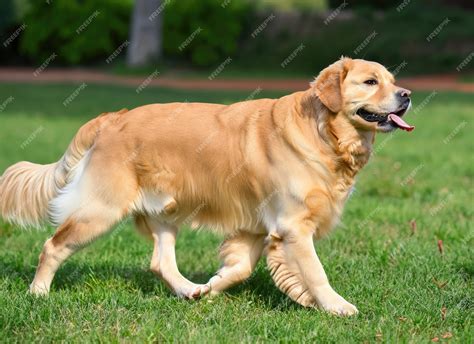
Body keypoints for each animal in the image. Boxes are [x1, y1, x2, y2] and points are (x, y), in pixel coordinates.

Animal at [0, 57, 412, 316]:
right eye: (370, 82)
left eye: (392, 81)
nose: (407, 95)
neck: (323, 132)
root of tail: (111, 119)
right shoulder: (292, 226)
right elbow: (315, 272)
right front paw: (336, 306)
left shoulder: (256, 225)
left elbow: (240, 268)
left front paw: (211, 287)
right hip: (100, 210)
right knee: (53, 246)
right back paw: (38, 293)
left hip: (165, 211)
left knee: (161, 262)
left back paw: (188, 289)